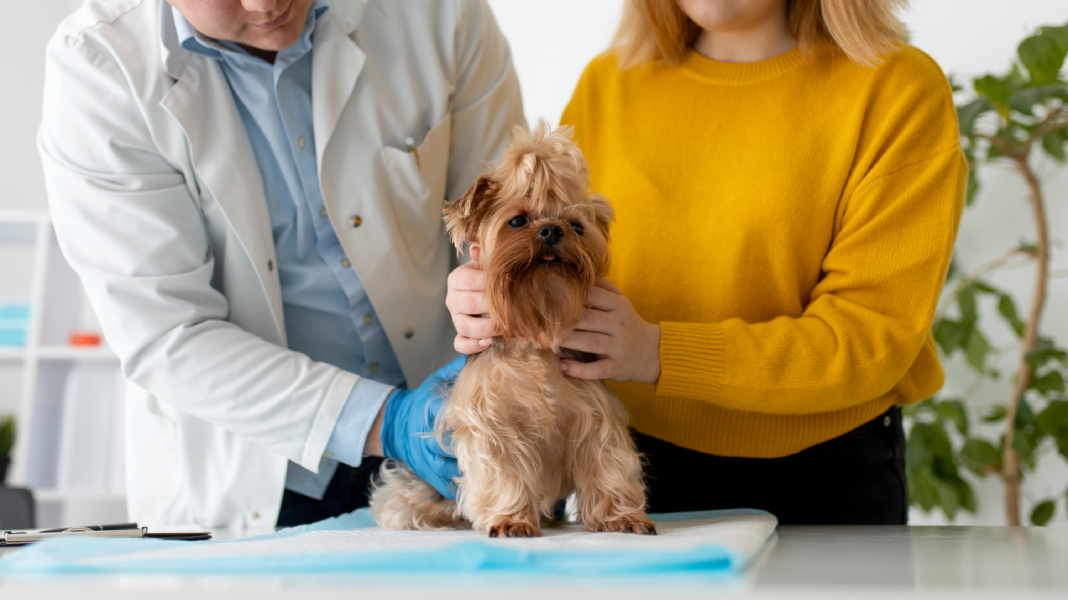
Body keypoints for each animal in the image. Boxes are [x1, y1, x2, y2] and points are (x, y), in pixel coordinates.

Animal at [369, 121, 649, 538]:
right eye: (518, 221)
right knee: (400, 502)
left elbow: (607, 463)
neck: (535, 338)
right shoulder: (490, 421)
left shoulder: (595, 418)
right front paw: (510, 519)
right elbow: (502, 470)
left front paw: (621, 517)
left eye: (577, 227)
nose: (551, 230)